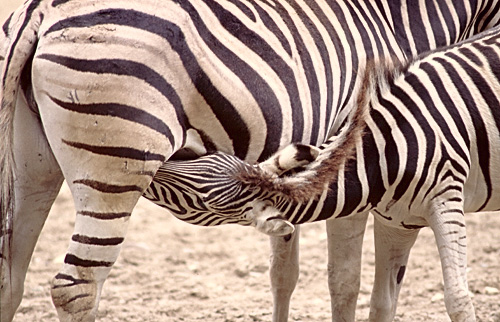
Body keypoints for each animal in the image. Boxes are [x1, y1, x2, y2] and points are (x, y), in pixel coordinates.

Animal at [0, 0, 500, 322]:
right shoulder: (358, 154)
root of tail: (40, 12)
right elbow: (344, 282)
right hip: (115, 165)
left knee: (10, 277)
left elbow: (284, 274)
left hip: (33, 165)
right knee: (78, 287)